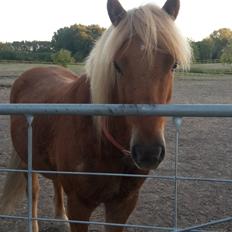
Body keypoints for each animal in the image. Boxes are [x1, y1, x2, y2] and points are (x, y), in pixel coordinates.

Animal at [0, 0, 190, 231]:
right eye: (117, 64)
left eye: (173, 65)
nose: (148, 152)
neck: (102, 141)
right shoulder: (79, 205)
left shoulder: (123, 204)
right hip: (26, 158)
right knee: (33, 191)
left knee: (56, 182)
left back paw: (60, 217)